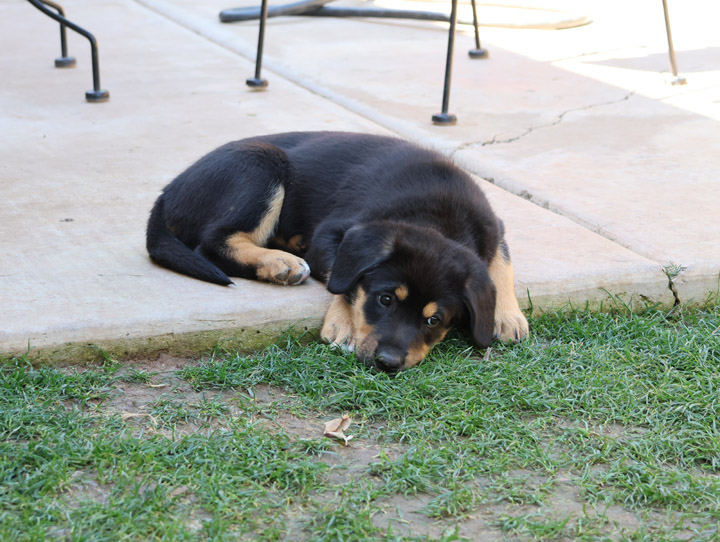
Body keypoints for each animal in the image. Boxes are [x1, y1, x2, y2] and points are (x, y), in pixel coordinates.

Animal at [146, 131, 528, 374]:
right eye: (385, 300)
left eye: (434, 320)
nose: (388, 363)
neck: (436, 219)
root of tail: (167, 192)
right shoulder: (331, 233)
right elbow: (344, 280)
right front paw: (342, 324)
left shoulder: (495, 228)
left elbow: (501, 265)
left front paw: (507, 316)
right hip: (261, 163)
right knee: (213, 243)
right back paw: (281, 262)